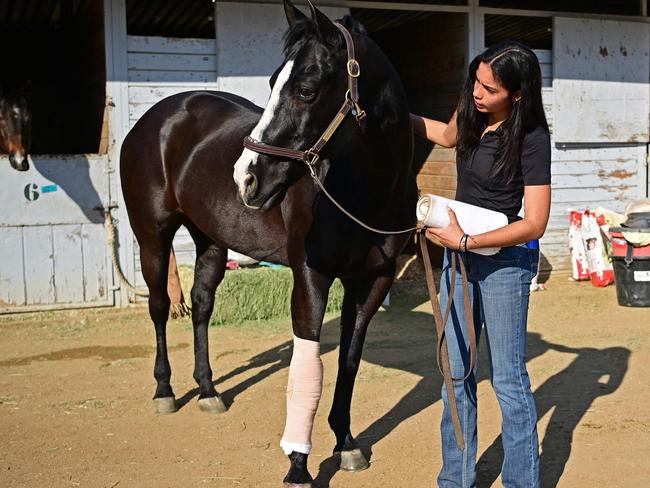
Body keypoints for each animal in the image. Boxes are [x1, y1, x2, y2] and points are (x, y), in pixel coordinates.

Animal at [118, 2, 416, 484]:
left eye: (307, 90)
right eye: (274, 81)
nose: (246, 178)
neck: (367, 191)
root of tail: (157, 116)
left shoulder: (373, 280)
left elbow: (349, 360)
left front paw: (347, 443)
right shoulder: (311, 277)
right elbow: (308, 362)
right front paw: (298, 464)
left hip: (210, 240)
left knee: (201, 305)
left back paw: (208, 390)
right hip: (153, 238)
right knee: (161, 307)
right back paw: (164, 390)